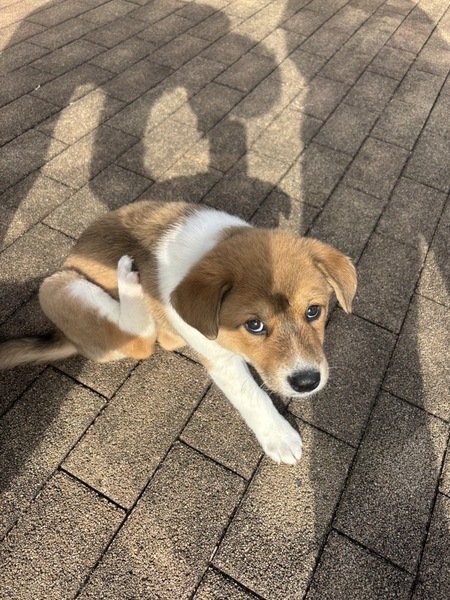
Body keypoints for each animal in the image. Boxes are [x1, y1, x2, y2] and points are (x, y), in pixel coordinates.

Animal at [0, 200, 356, 464]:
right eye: (254, 325)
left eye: (314, 311)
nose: (307, 382)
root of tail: (67, 336)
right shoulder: (219, 358)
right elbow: (252, 396)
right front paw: (279, 437)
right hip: (56, 286)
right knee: (140, 342)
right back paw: (128, 278)